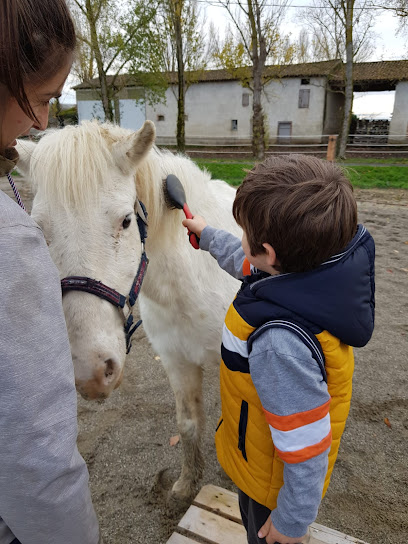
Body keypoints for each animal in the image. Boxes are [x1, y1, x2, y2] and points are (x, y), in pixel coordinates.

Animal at [17, 121, 242, 500]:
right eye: (40, 230)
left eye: (125, 221)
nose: (91, 373)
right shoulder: (177, 362)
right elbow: (188, 423)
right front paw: (187, 483)